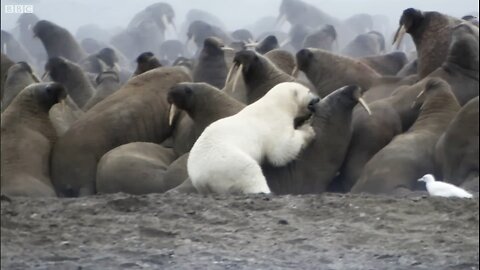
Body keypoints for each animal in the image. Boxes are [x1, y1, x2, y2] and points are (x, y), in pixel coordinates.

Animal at [187, 81, 318, 193]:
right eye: (308, 91)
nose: (317, 98)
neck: (277, 104)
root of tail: (200, 179)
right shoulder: (273, 122)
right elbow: (280, 152)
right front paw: (308, 130)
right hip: (227, 162)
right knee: (250, 172)